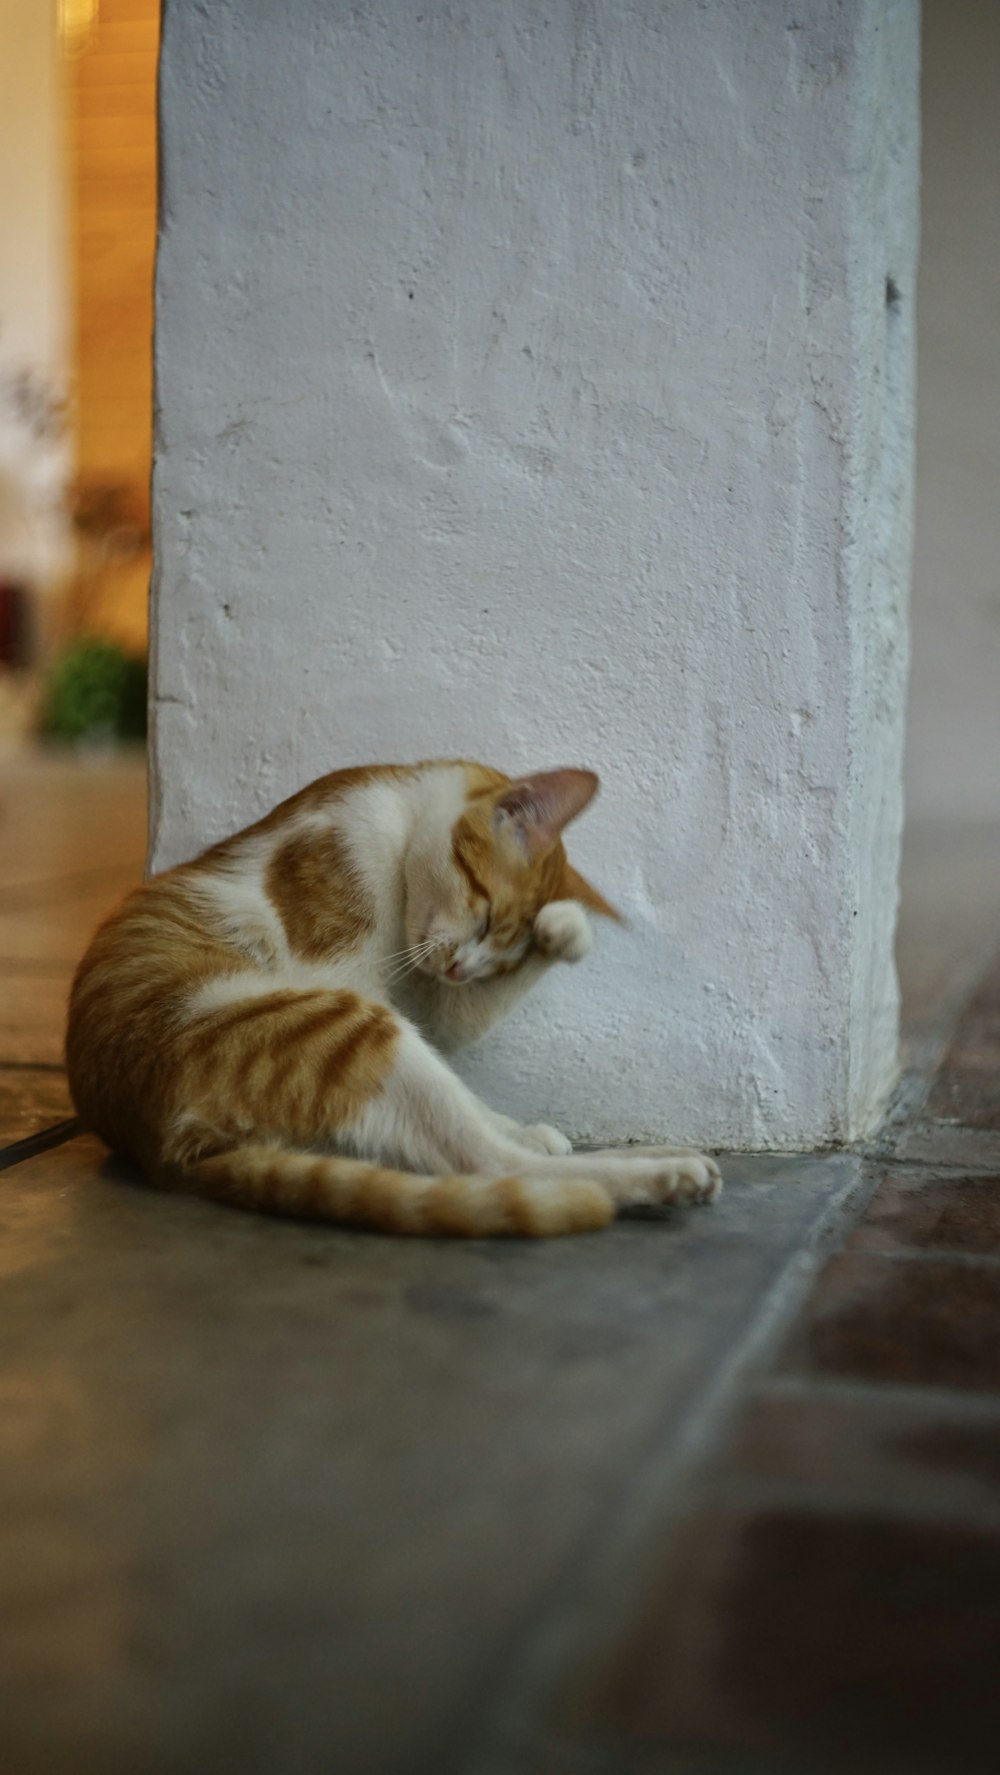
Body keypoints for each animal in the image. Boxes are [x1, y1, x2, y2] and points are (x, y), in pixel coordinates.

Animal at [68, 759, 721, 1235]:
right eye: (486, 918)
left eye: (498, 959)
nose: (461, 968)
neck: (400, 823)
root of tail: (161, 1150)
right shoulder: (345, 968)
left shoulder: (430, 1005)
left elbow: (459, 1028)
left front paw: (561, 933)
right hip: (346, 1026)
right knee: (488, 1164)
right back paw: (668, 1173)